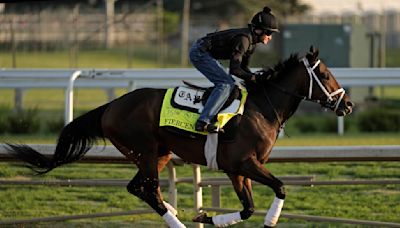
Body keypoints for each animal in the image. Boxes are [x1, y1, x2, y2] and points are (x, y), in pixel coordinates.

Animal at [6, 45, 354, 226]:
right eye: (325, 75)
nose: (347, 104)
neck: (261, 108)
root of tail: (110, 106)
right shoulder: (244, 163)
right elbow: (279, 188)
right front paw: (269, 219)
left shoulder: (236, 170)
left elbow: (247, 208)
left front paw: (206, 216)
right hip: (145, 151)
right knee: (147, 189)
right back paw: (175, 219)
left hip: (158, 154)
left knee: (140, 188)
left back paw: (173, 211)